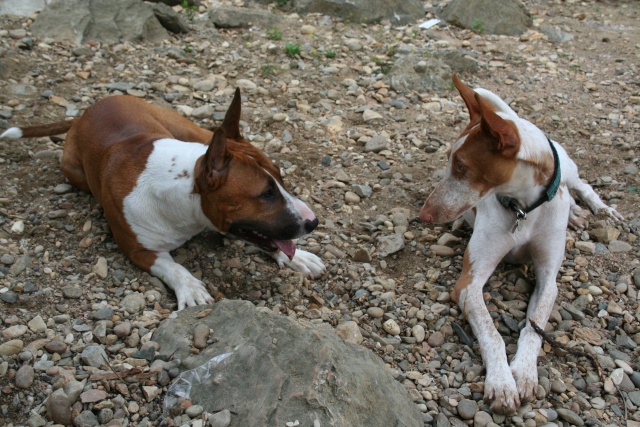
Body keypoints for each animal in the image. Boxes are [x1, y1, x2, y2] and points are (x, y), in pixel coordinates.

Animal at [1, 91, 324, 310]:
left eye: (280, 178)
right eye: (266, 194)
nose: (313, 222)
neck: (186, 199)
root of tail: (84, 113)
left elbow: (269, 240)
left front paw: (297, 256)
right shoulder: (139, 250)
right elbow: (173, 267)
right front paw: (191, 289)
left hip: (188, 127)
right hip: (73, 171)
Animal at [418, 75, 624, 416]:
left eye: (461, 166)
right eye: (449, 161)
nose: (424, 215)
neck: (523, 208)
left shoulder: (548, 280)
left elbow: (534, 328)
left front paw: (525, 373)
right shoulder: (468, 283)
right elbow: (492, 333)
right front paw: (502, 382)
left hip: (569, 170)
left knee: (582, 186)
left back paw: (595, 210)